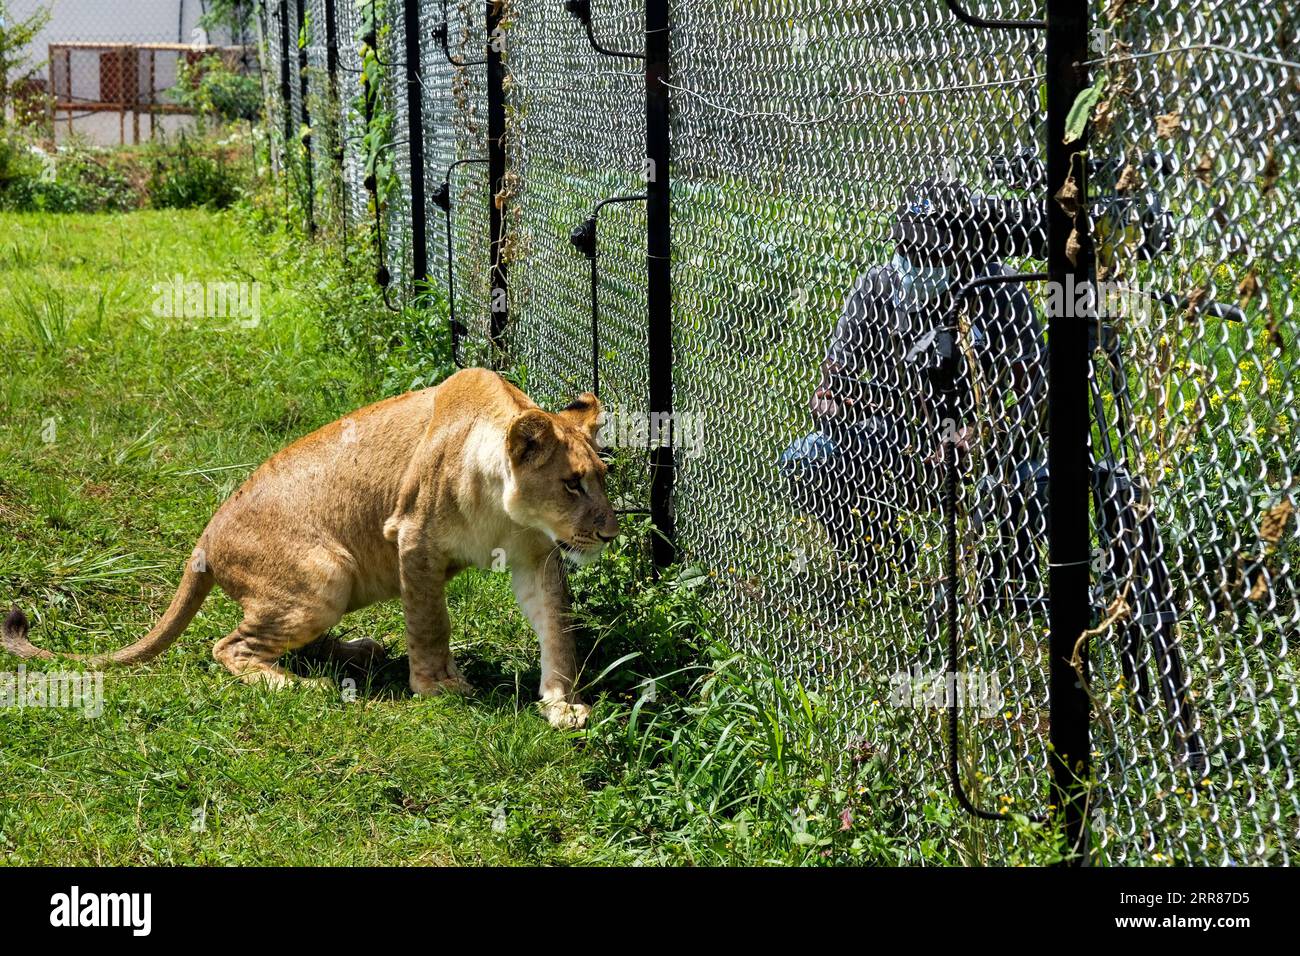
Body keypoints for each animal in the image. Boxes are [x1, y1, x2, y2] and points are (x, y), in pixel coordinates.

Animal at [1, 369, 618, 728]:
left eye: (603, 477)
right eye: (571, 484)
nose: (610, 532)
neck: (503, 504)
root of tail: (205, 537)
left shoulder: (537, 556)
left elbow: (556, 630)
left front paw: (561, 703)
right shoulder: (412, 539)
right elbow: (430, 623)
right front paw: (436, 686)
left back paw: (356, 651)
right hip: (326, 573)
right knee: (229, 646)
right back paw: (299, 686)